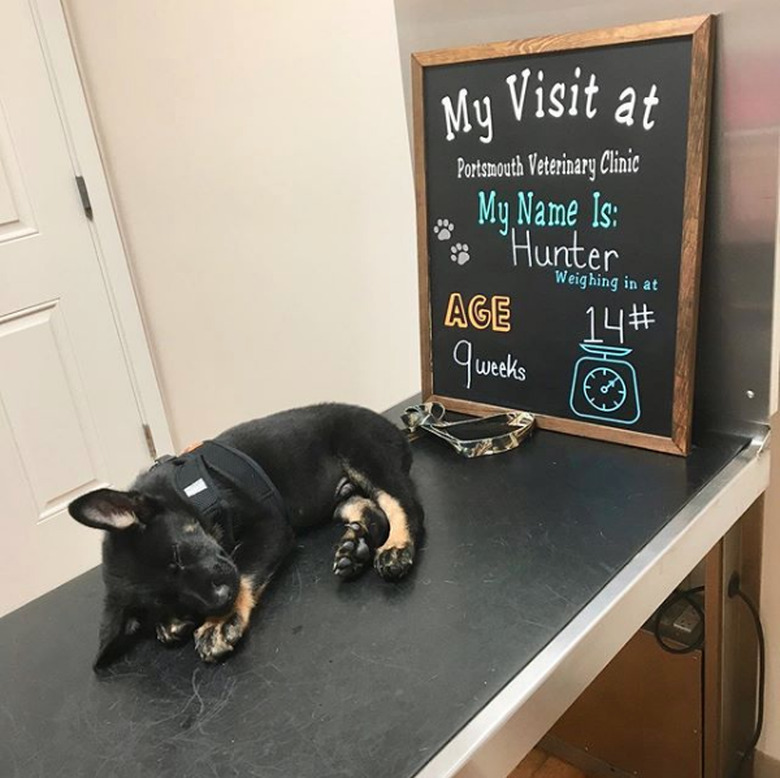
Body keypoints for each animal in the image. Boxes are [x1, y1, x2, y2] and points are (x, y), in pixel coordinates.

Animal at [68, 404, 424, 664]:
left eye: (178, 554)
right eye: (170, 600)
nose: (221, 598)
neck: (185, 495)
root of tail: (391, 427)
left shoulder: (270, 527)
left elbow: (246, 566)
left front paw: (220, 622)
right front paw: (173, 624)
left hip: (364, 454)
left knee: (404, 505)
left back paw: (396, 547)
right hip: (340, 498)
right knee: (372, 512)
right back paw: (353, 549)